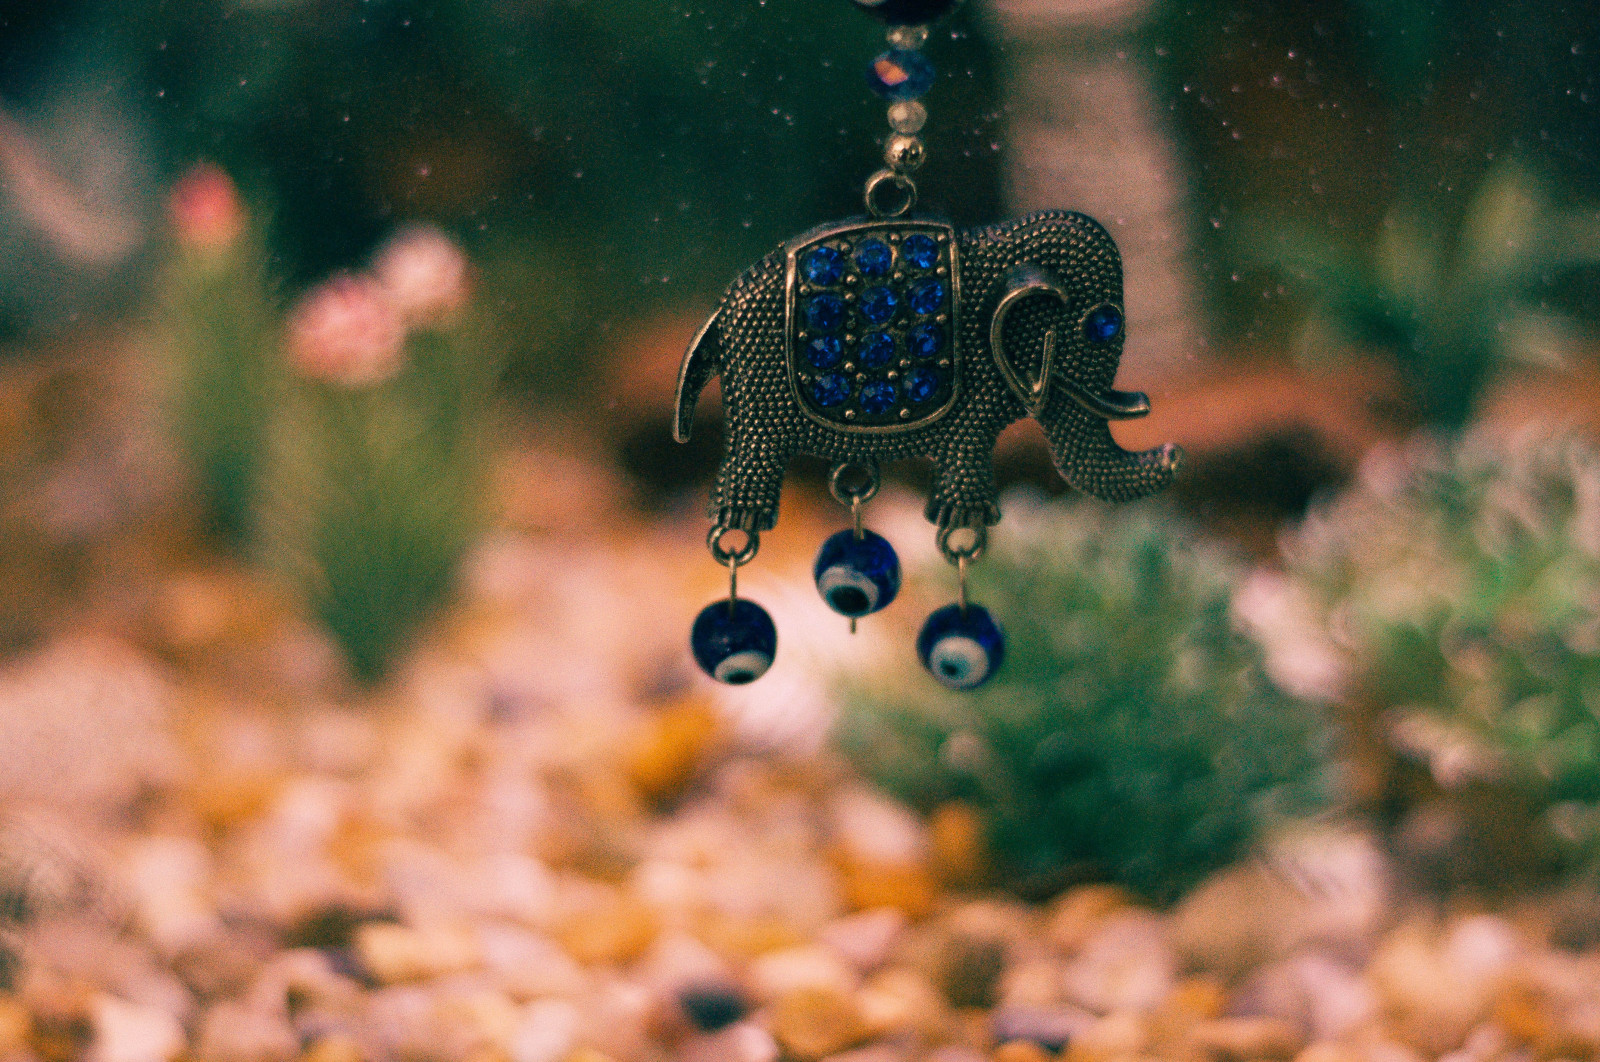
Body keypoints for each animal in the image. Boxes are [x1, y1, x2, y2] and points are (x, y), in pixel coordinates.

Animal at [674, 209, 1183, 536]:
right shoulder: (976, 381)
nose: (1174, 453)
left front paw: (956, 521)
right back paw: (739, 523)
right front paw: (964, 518)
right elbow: (971, 438)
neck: (1000, 245)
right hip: (758, 381)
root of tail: (720, 308)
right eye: (1104, 325)